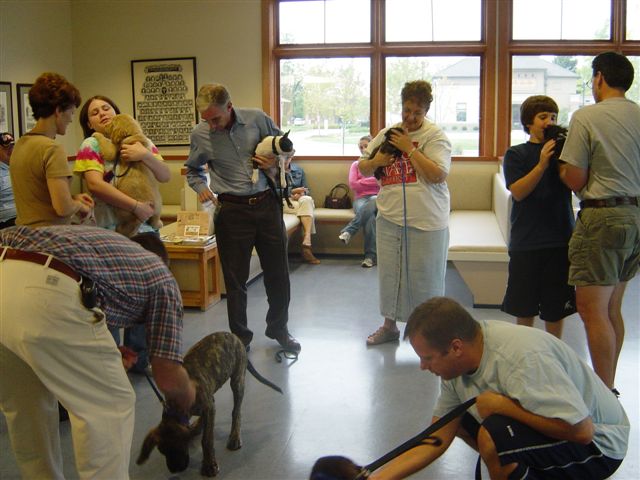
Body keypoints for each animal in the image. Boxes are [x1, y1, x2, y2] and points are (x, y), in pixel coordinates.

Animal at [136, 334, 282, 476]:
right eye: (162, 450)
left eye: (179, 445)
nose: (175, 470)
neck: (177, 405)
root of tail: (236, 338)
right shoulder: (208, 404)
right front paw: (196, 428)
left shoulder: (208, 407)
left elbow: (206, 439)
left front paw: (209, 465)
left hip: (237, 381)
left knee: (236, 411)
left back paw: (234, 437)